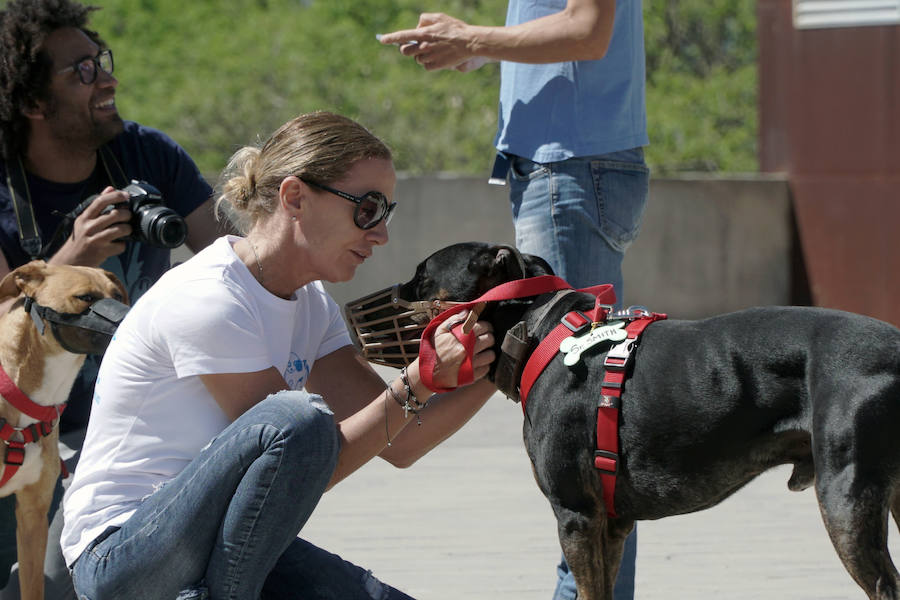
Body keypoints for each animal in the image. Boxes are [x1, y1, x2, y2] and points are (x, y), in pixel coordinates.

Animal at [398, 241, 900, 596]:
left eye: (422, 275)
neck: (540, 330)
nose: (393, 286)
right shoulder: (613, 524)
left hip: (845, 498)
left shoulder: (577, 516)